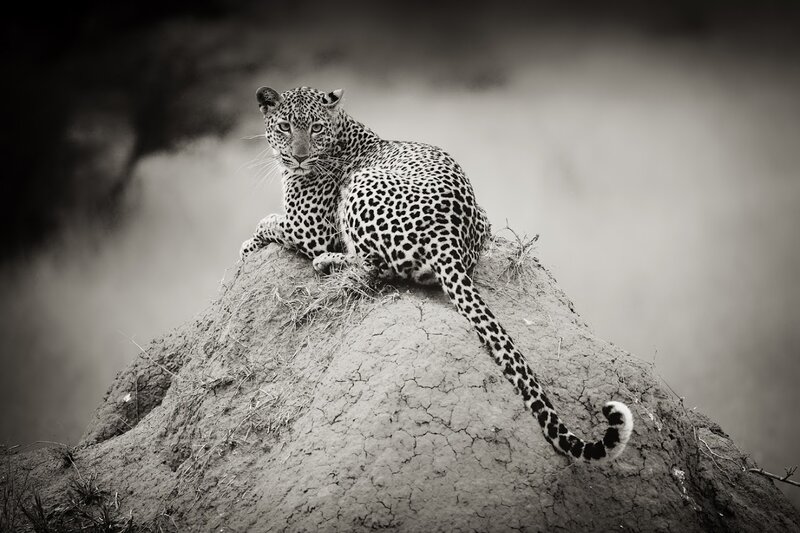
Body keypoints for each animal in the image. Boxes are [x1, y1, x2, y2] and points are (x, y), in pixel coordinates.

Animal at [240, 86, 633, 462]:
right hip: (481, 219)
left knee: (374, 268)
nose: (299, 156)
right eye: (285, 126)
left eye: (316, 128)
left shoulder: (309, 229)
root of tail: (449, 238)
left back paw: (328, 263)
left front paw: (249, 243)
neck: (341, 132)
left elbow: (269, 222)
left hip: (362, 187)